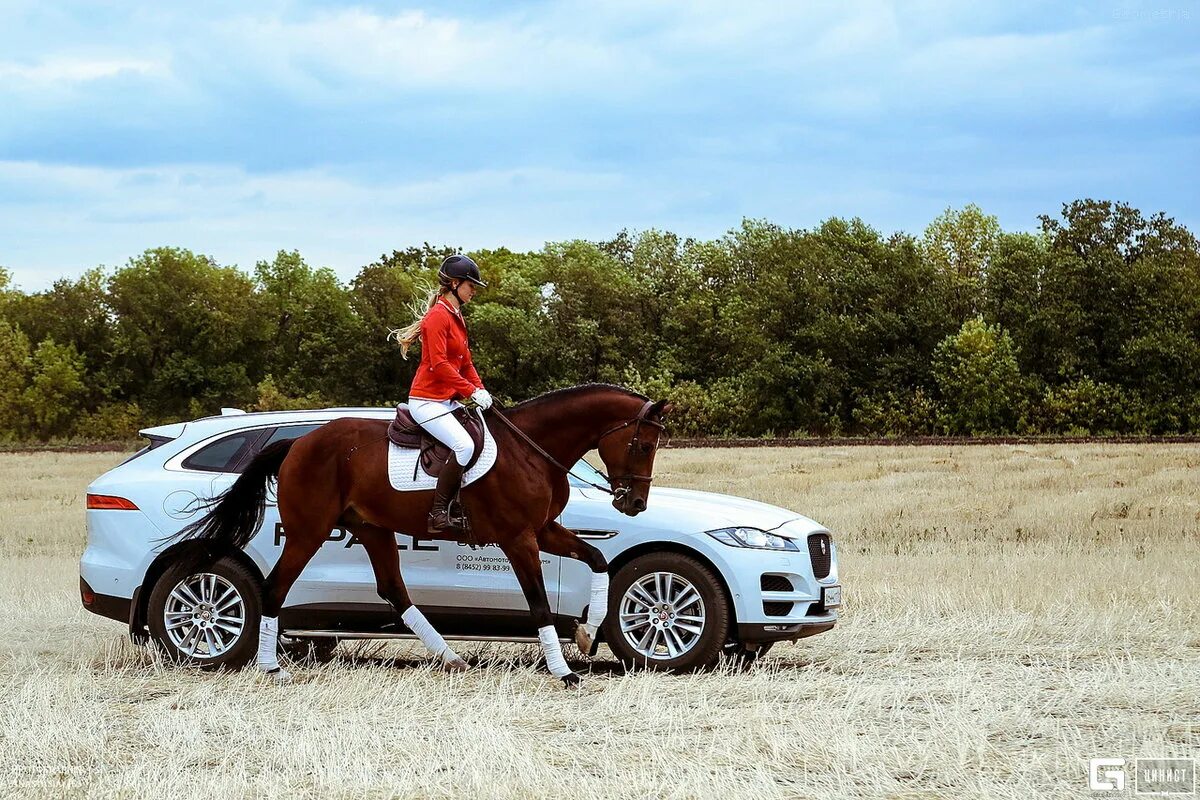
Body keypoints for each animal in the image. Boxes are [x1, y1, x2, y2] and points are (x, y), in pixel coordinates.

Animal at [172, 383, 672, 686]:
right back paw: (272, 667)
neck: (532, 451)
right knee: (276, 587)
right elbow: (539, 602)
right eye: (643, 445)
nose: (633, 504)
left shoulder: (545, 530)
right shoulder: (519, 538)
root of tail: (298, 443)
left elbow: (598, 560)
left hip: (372, 530)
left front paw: (587, 633)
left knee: (393, 589)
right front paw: (563, 670)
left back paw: (450, 656)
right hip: (308, 533)